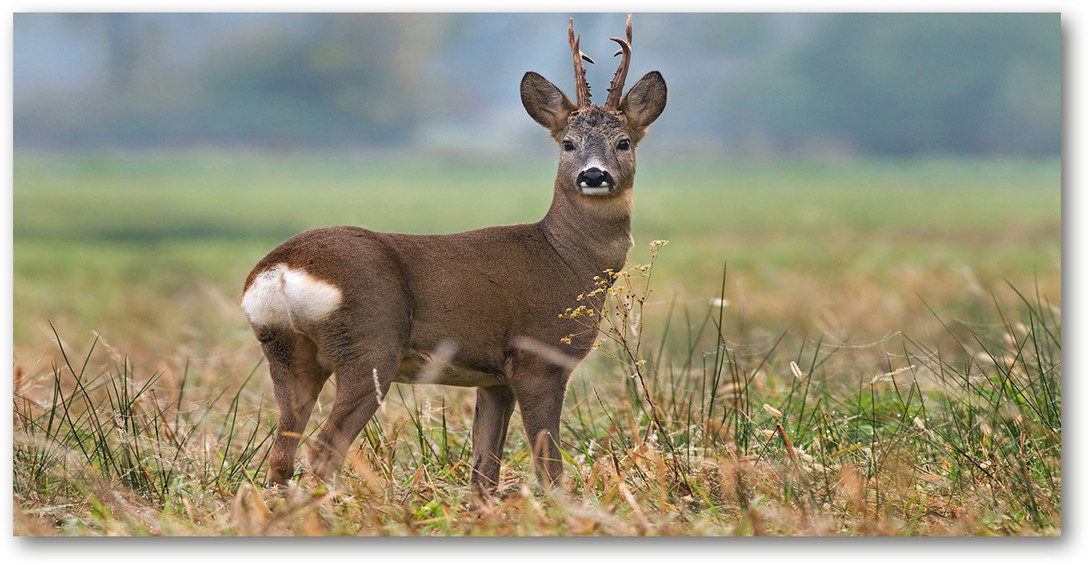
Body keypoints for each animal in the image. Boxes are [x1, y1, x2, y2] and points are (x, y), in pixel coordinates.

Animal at [240, 14, 661, 489]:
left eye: (624, 142)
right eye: (568, 143)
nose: (593, 175)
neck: (566, 258)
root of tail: (279, 270)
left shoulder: (495, 379)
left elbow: (484, 471)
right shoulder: (538, 357)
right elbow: (548, 465)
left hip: (288, 352)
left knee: (281, 454)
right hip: (369, 345)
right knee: (324, 449)